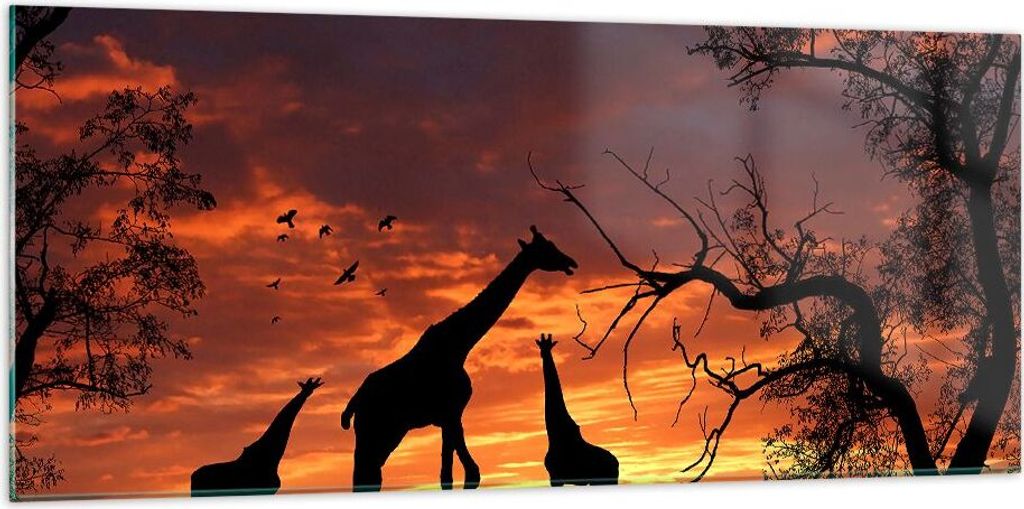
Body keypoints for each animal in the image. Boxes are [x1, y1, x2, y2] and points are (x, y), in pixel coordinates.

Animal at [340, 225, 578, 492]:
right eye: (547, 248)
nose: (571, 262)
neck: (459, 345)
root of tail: (353, 403)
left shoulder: (448, 417)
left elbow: (448, 475)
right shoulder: (451, 412)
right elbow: (471, 473)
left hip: (386, 434)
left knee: (369, 475)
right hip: (376, 432)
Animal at [536, 334, 619, 486]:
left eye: (548, 347)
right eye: (541, 347)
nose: (543, 354)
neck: (556, 433)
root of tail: (617, 463)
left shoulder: (555, 477)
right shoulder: (556, 477)